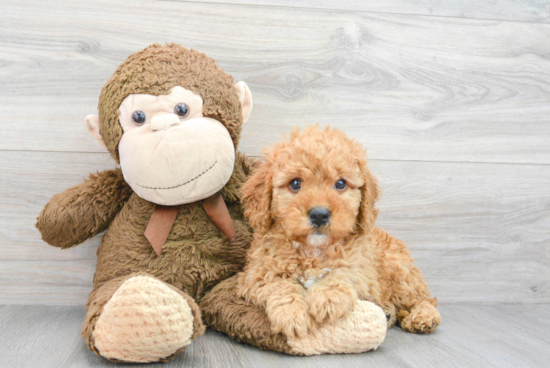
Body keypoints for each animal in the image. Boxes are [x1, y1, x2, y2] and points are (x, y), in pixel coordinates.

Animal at [238, 125, 444, 338]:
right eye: (295, 183)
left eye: (340, 184)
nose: (319, 215)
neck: (314, 250)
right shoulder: (256, 274)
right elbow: (278, 284)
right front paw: (292, 313)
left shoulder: (363, 268)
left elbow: (344, 272)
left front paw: (327, 297)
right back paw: (388, 312)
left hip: (400, 272)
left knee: (423, 299)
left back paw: (423, 317)